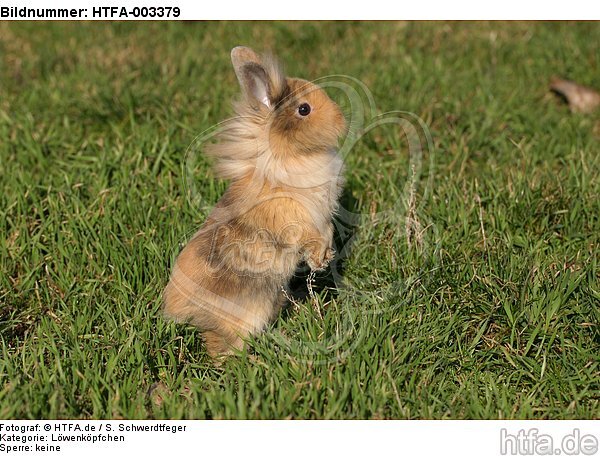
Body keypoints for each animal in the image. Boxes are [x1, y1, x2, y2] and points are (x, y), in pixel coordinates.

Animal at [162, 47, 346, 360]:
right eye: (304, 109)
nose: (342, 120)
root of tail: (178, 312)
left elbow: (327, 232)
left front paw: (324, 259)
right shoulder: (296, 218)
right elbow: (309, 236)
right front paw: (319, 259)